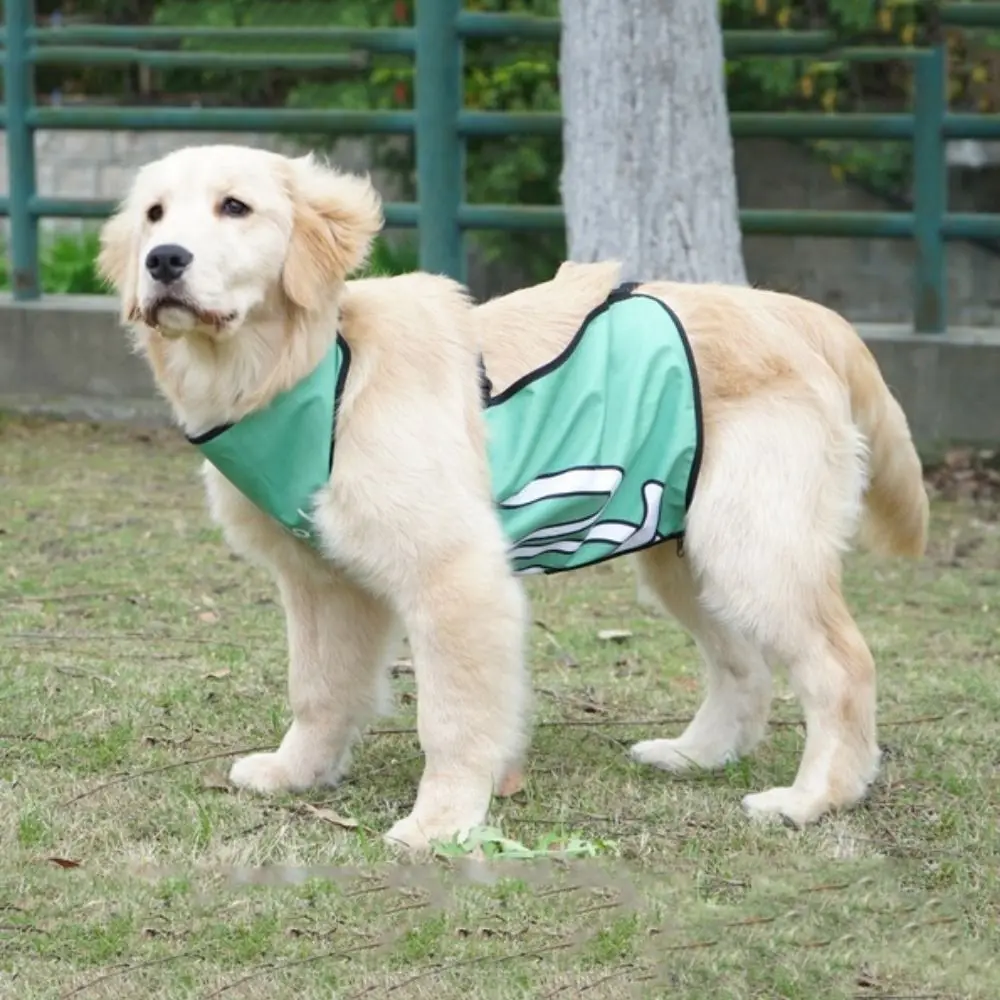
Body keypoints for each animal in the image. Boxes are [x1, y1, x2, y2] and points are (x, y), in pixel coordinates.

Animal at [95, 145, 928, 848]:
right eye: (155, 214)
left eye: (235, 207)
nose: (164, 260)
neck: (318, 371)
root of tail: (789, 310)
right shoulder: (322, 581)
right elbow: (319, 688)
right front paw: (298, 771)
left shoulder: (456, 577)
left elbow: (453, 718)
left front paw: (441, 822)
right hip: (687, 554)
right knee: (742, 665)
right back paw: (697, 754)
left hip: (750, 545)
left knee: (842, 667)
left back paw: (815, 797)